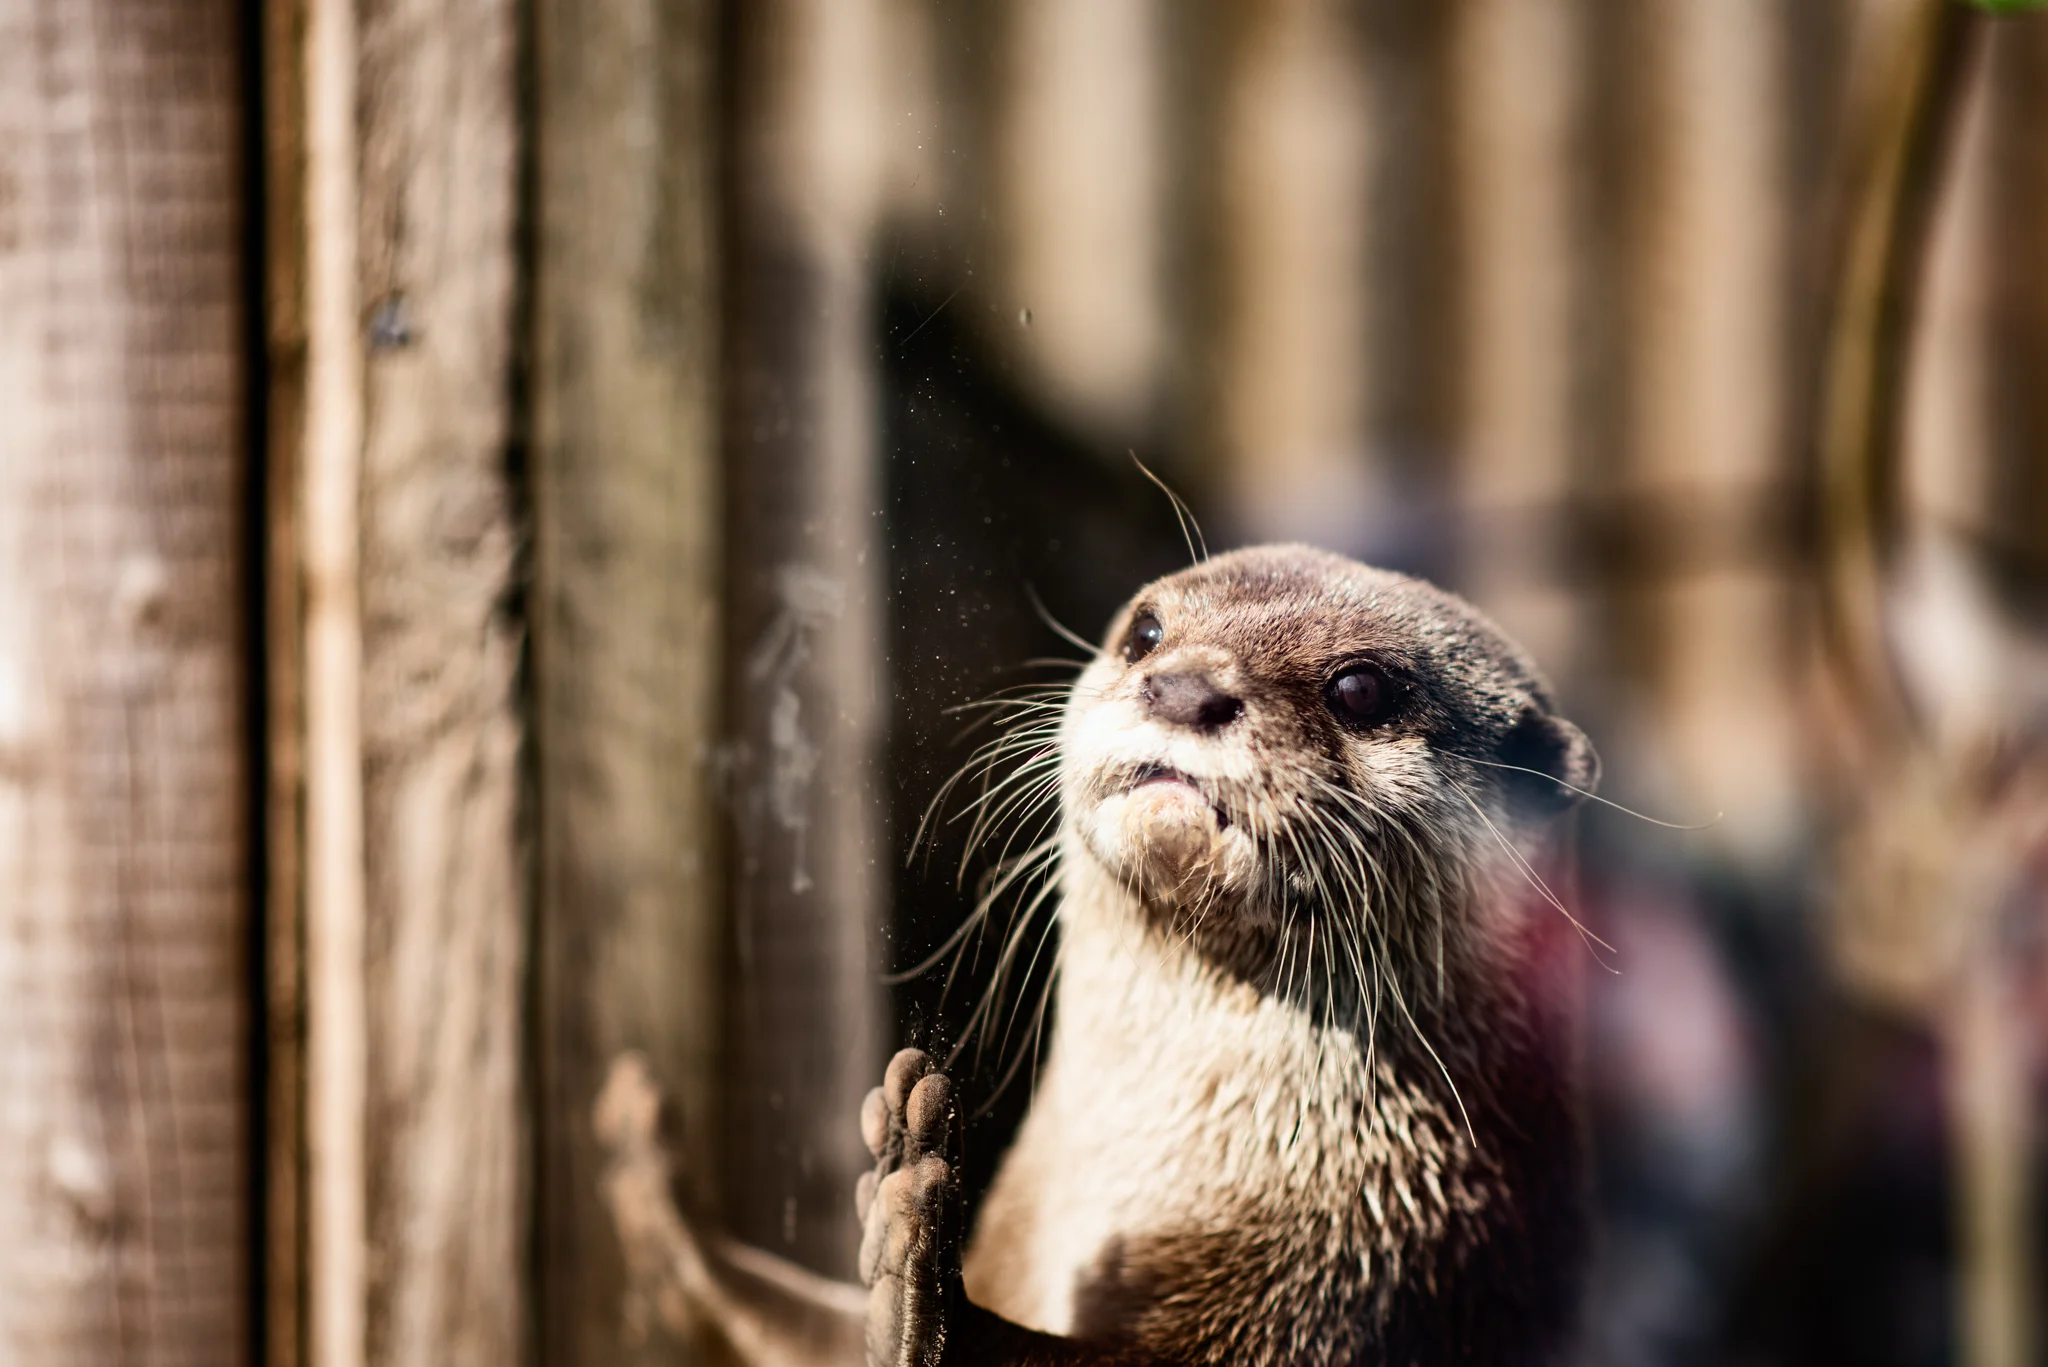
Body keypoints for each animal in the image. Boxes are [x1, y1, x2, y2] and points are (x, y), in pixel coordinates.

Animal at [597, 544, 1600, 1367]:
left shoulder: (1374, 1279)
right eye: (1145, 631)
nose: (1183, 687)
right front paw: (654, 1182)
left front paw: (918, 1284)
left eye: (1361, 689)